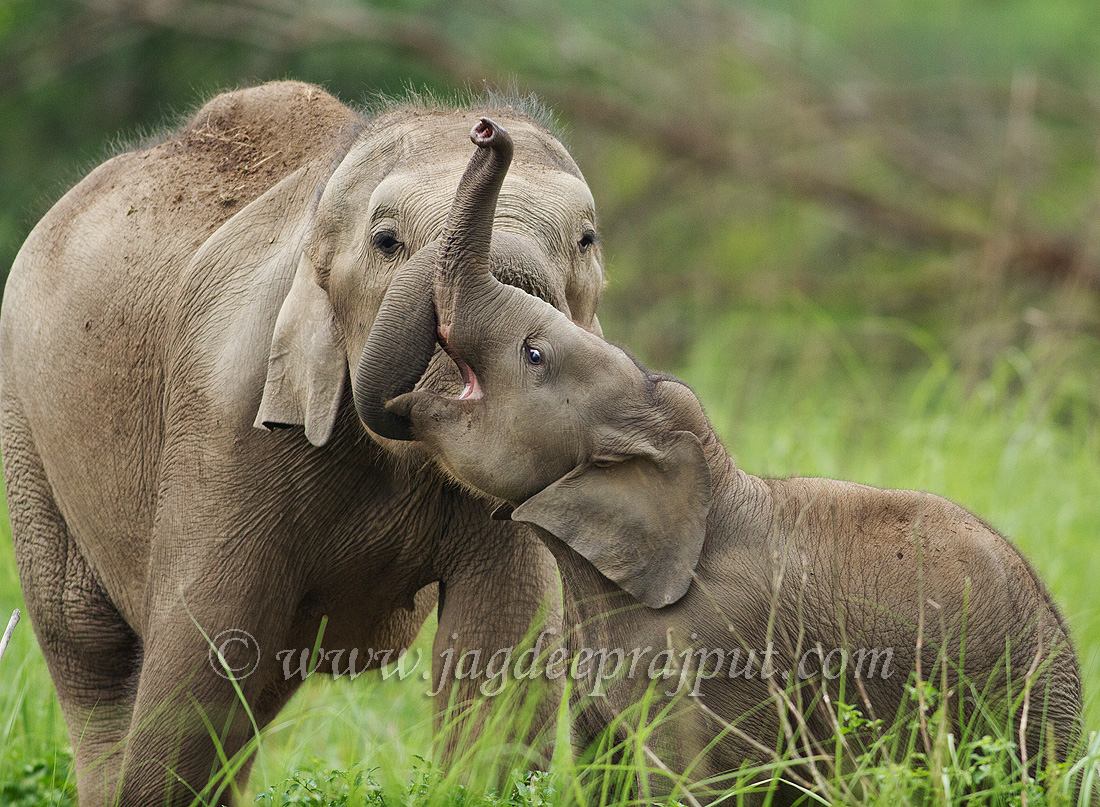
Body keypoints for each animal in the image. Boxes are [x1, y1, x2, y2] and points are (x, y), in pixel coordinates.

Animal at [0, 82, 607, 805]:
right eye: (386, 241)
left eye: (587, 240)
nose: (486, 128)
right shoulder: (225, 414)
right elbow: (200, 660)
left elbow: (503, 662)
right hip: (25, 426)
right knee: (88, 641)